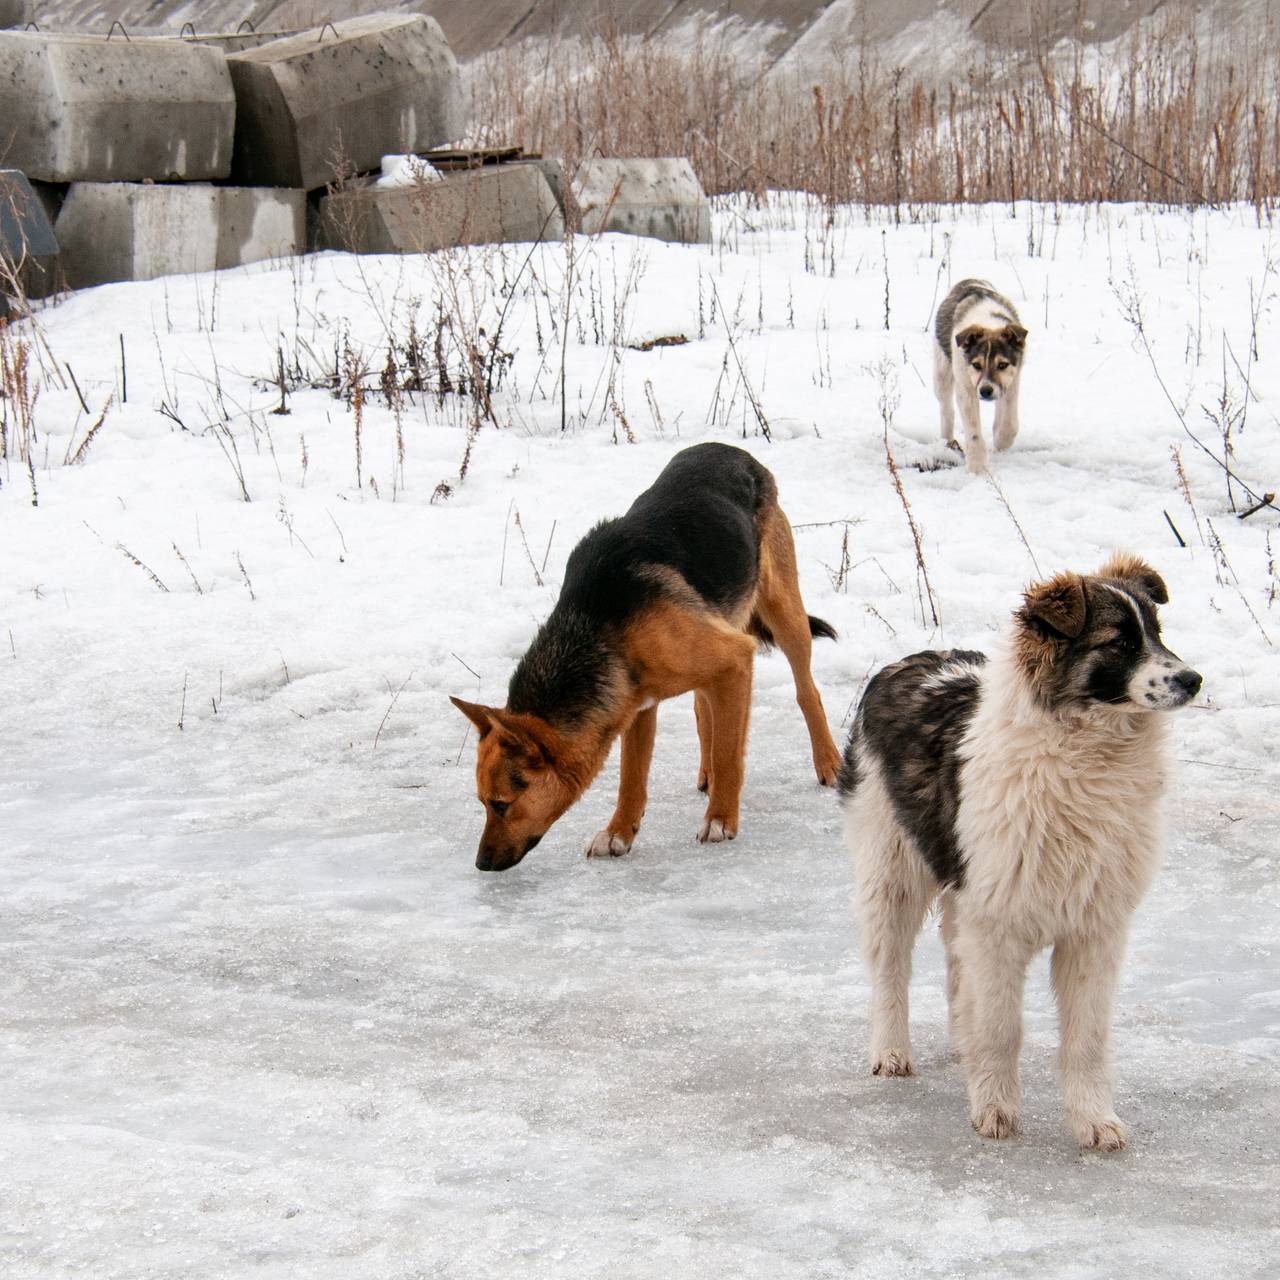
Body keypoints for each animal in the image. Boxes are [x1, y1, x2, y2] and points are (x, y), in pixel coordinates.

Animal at [450, 445, 839, 875]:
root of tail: (731, 451)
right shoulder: (636, 704)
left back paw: (828, 763)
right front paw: (618, 833)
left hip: (784, 614)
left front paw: (720, 820)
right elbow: (631, 779)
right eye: (483, 803)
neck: (599, 625)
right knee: (704, 709)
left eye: (501, 805)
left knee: (807, 692)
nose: (481, 864)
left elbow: (728, 754)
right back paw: (707, 772)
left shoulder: (736, 658)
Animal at [839, 555, 1198, 1157]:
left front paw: (1094, 1120)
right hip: (892, 871)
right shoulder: (998, 921)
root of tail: (903, 664)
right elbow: (1003, 1028)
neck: (1086, 753)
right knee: (891, 969)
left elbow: (1086, 1038)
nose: (1193, 681)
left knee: (956, 969)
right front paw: (995, 1110)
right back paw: (891, 1052)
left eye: (1158, 633)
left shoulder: (1093, 927)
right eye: (1120, 643)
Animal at [931, 277, 1029, 473]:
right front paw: (977, 467)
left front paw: (1002, 440)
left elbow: (1009, 422)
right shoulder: (966, 387)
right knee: (946, 408)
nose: (985, 391)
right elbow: (973, 431)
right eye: (976, 365)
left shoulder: (1012, 382)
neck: (988, 323)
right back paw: (948, 442)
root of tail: (969, 279)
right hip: (941, 373)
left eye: (1002, 364)